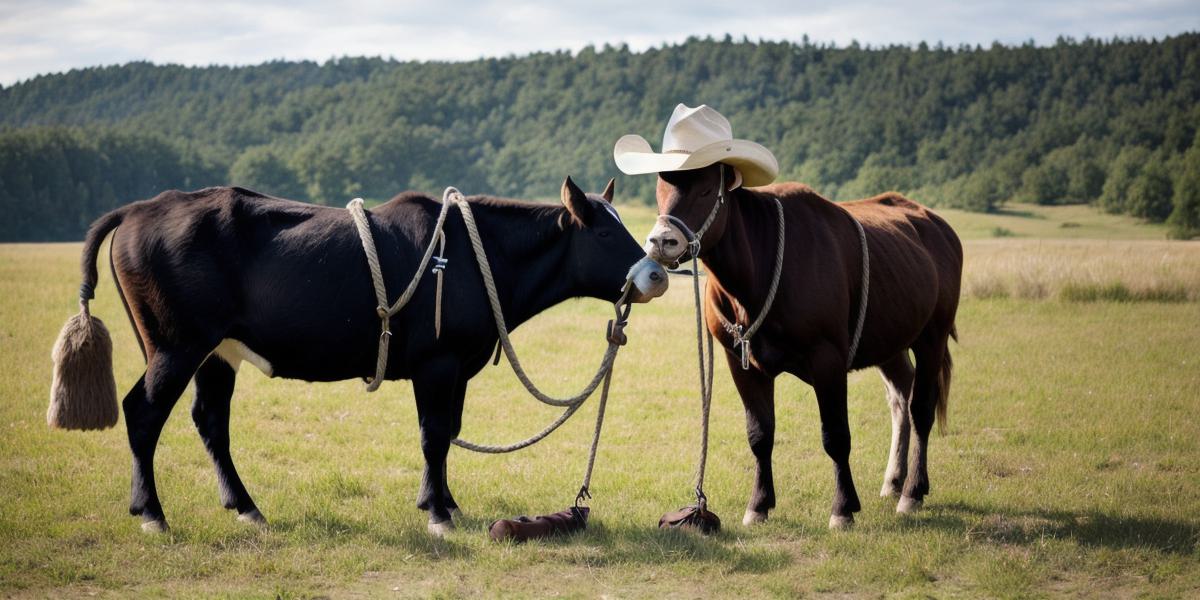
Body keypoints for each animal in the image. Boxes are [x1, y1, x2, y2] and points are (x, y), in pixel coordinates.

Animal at [643, 163, 960, 525]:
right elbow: (759, 435)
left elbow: (836, 435)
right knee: (901, 397)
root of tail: (939, 227)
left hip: (932, 336)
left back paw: (912, 491)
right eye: (661, 190)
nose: (661, 240)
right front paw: (759, 504)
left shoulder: (828, 358)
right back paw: (894, 480)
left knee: (921, 408)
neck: (755, 275)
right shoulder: (741, 360)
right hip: (891, 341)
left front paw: (843, 508)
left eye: (707, 190)